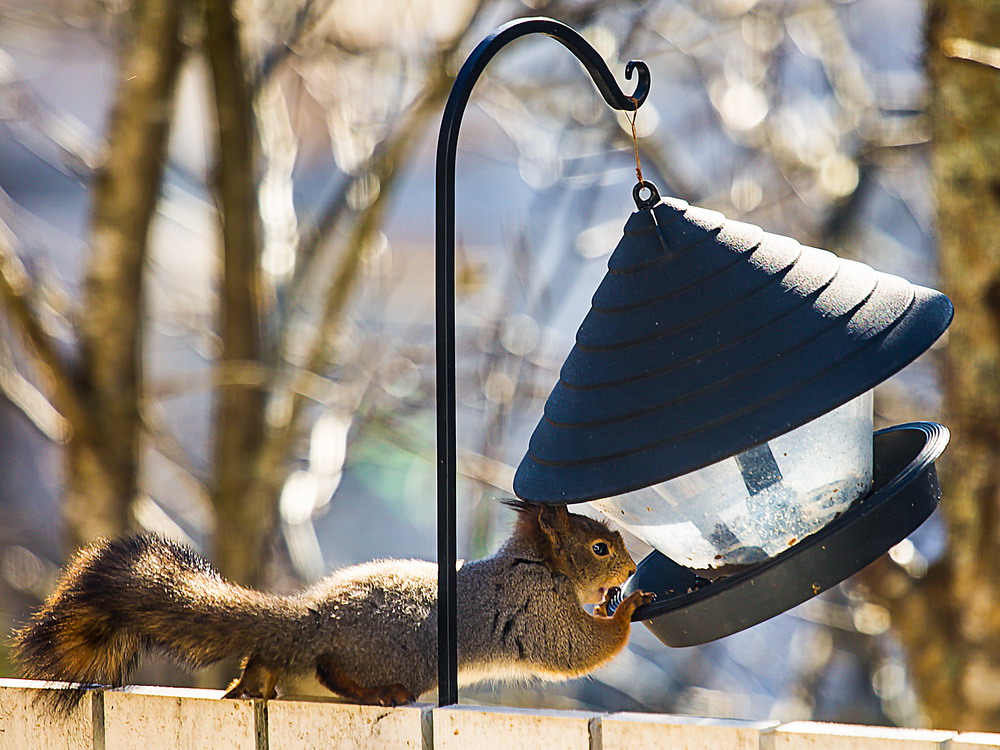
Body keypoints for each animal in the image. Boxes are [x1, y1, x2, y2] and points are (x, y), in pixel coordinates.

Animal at [13, 502, 656, 708]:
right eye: (600, 547)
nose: (628, 571)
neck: (538, 566)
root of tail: (312, 622)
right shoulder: (536, 609)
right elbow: (577, 647)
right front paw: (627, 610)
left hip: (291, 660)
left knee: (272, 661)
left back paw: (248, 685)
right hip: (400, 655)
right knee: (334, 671)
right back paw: (378, 693)